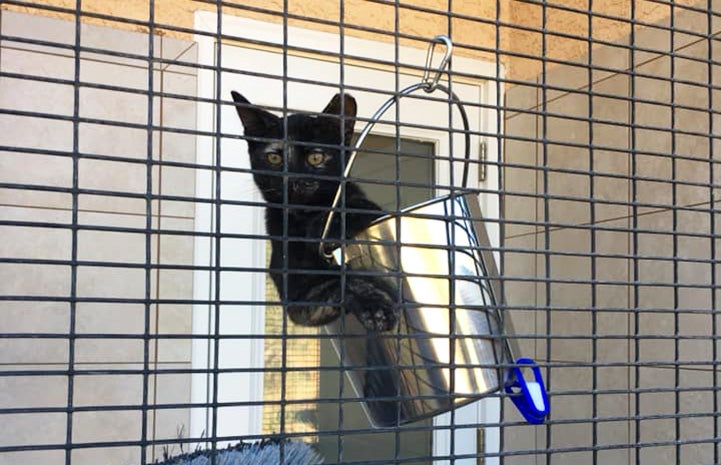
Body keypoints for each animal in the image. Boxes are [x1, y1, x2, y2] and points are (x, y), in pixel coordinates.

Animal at [231, 90, 400, 330]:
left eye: (315, 157)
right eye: (274, 158)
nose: (294, 180)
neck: (306, 216)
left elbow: (360, 206)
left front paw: (324, 230)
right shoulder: (297, 296)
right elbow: (340, 283)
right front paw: (375, 306)